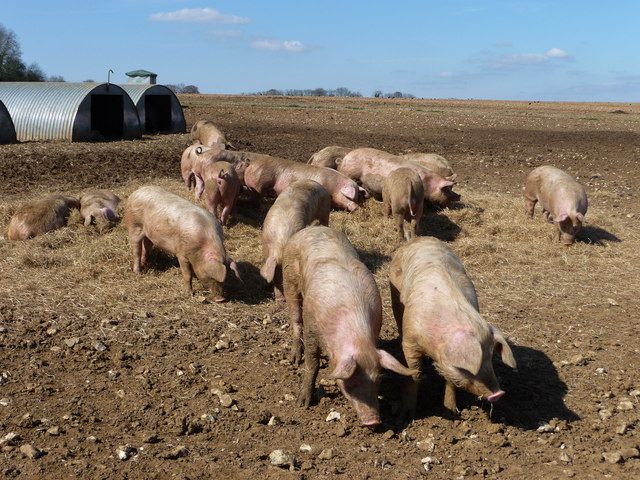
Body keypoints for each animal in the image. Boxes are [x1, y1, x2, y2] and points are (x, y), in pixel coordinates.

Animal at [282, 226, 416, 428]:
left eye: (378, 381)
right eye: (350, 383)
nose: (373, 421)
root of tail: (311, 228)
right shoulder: (312, 326)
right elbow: (312, 363)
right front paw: (302, 404)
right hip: (289, 278)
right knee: (296, 320)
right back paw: (294, 359)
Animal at [388, 238, 516, 418]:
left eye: (491, 357)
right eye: (469, 368)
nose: (498, 394)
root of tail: (419, 239)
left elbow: (451, 381)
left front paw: (453, 411)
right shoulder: (410, 339)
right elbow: (414, 373)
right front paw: (406, 415)